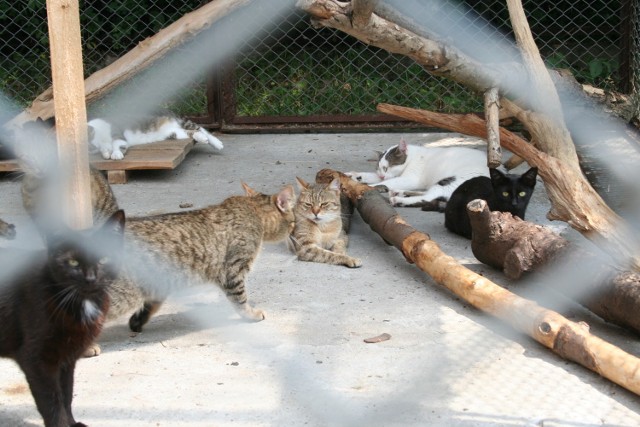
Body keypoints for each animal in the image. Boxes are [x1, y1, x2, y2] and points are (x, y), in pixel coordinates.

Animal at [0, 211, 124, 427]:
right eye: (73, 262)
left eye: (103, 259)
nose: (91, 278)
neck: (81, 302)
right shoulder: (36, 359)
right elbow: (51, 401)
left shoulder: (67, 358)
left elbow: (66, 393)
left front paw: (72, 423)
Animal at [87, 113, 222, 160]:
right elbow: (106, 149)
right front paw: (106, 153)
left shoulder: (117, 133)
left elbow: (116, 143)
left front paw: (116, 154)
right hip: (173, 133)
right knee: (190, 132)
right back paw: (201, 138)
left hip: (178, 123)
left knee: (201, 129)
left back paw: (217, 143)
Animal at [348, 138, 488, 210]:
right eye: (378, 168)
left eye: (386, 168)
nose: (382, 175)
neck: (412, 158)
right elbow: (370, 176)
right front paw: (353, 176)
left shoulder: (410, 178)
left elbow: (385, 182)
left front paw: (368, 186)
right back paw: (399, 192)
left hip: (452, 180)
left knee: (429, 198)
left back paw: (398, 199)